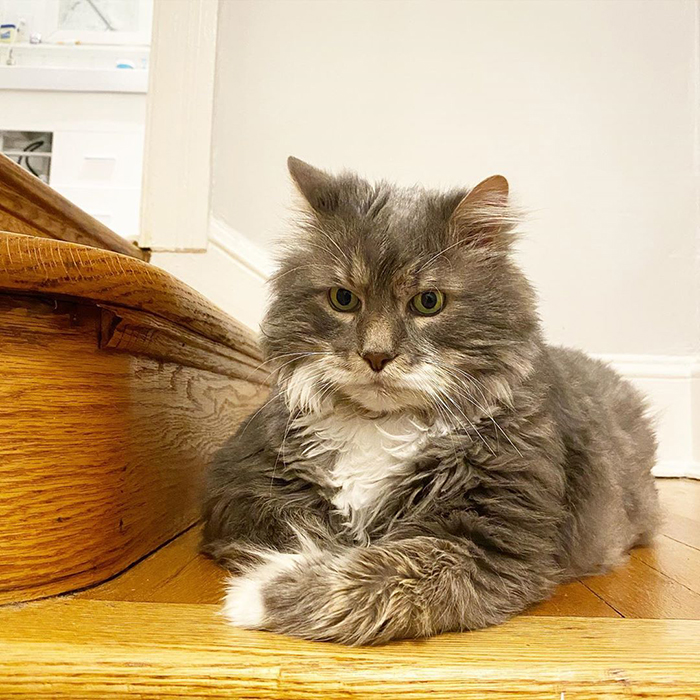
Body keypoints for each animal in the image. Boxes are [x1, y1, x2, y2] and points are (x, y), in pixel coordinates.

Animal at [200, 159, 660, 644]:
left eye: (428, 302)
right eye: (343, 299)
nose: (376, 355)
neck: (381, 424)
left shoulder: (494, 541)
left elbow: (388, 571)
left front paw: (259, 593)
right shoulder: (240, 490)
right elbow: (308, 529)